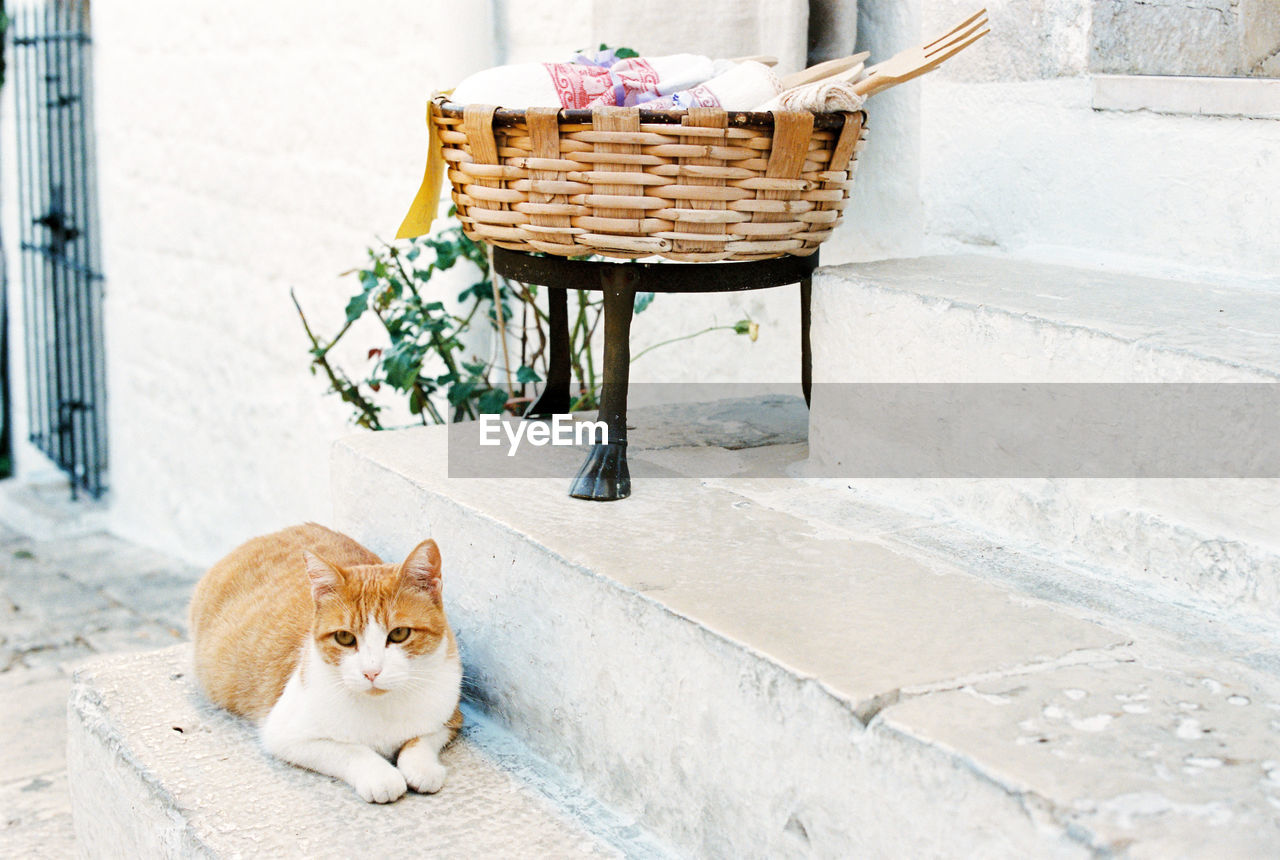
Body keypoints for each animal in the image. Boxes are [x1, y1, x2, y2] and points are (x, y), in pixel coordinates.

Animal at [192, 524, 463, 808]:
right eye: (344, 638)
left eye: (399, 633)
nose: (371, 672)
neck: (381, 707)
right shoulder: (286, 734)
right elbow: (351, 750)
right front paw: (381, 776)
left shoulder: (450, 719)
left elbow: (420, 740)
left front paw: (422, 767)